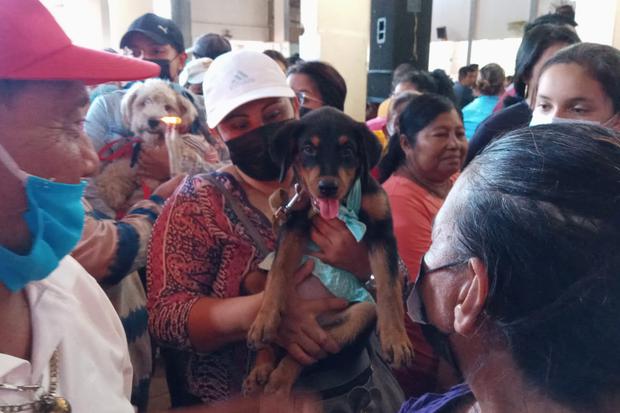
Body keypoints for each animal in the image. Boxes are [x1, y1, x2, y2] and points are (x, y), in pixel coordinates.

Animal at [94, 78, 216, 211]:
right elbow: (113, 171)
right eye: (145, 102)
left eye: (167, 107)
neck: (154, 143)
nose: (153, 121)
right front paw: (111, 192)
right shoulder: (133, 163)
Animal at [246, 107, 412, 396]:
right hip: (253, 278)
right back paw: (261, 365)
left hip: (360, 315)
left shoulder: (383, 233)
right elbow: (278, 272)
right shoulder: (293, 224)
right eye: (308, 149)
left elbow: (390, 288)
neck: (342, 205)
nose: (327, 187)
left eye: (347, 151)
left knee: (307, 355)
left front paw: (396, 339)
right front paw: (264, 320)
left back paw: (279, 382)